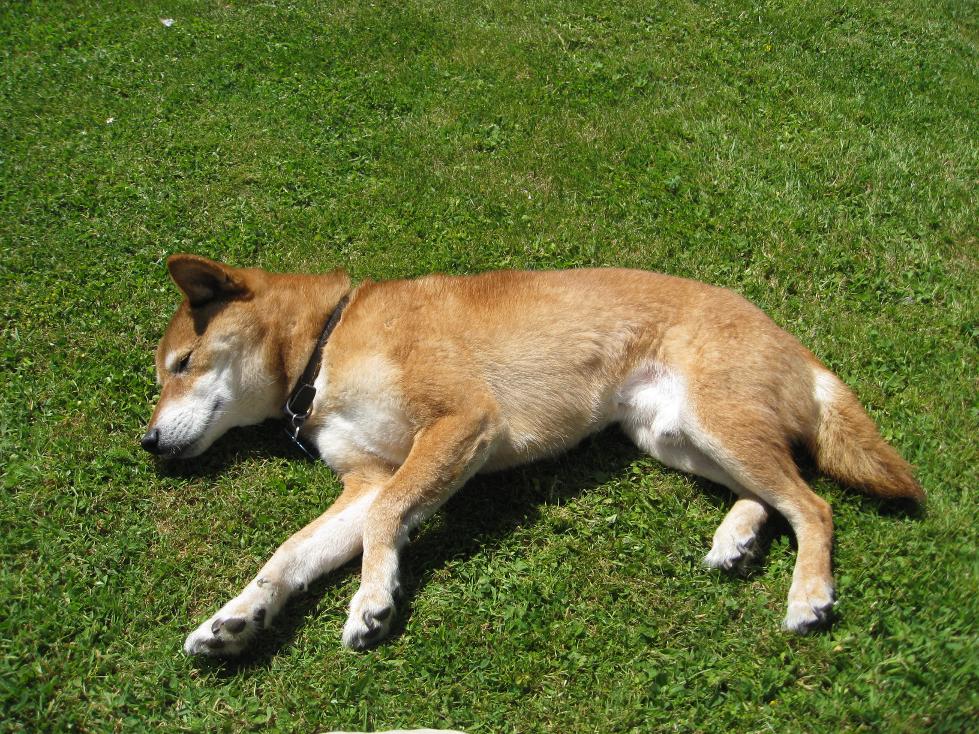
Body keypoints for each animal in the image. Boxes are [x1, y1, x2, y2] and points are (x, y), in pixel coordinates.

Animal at [142, 254, 924, 656]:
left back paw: (809, 592)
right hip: (674, 436)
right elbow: (288, 557)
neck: (327, 341)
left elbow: (387, 520)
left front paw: (372, 598)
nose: (146, 442)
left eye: (179, 365)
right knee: (769, 493)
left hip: (716, 421)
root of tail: (791, 340)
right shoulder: (365, 480)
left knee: (813, 504)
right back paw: (736, 538)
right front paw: (236, 618)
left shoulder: (460, 423)